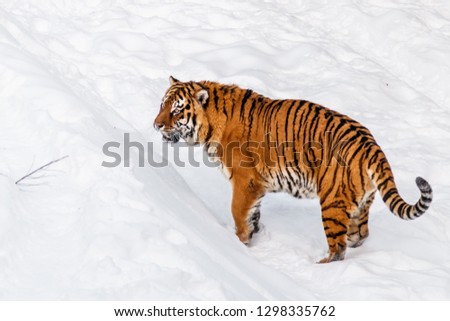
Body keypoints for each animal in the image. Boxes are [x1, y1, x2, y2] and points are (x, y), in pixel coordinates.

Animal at [154, 75, 432, 262]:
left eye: (176, 111)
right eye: (162, 105)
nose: (156, 124)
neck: (212, 123)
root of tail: (371, 145)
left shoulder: (245, 182)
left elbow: (238, 213)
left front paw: (239, 241)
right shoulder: (257, 187)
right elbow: (253, 214)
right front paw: (252, 236)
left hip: (332, 202)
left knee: (338, 248)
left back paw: (320, 265)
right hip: (361, 204)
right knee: (359, 236)